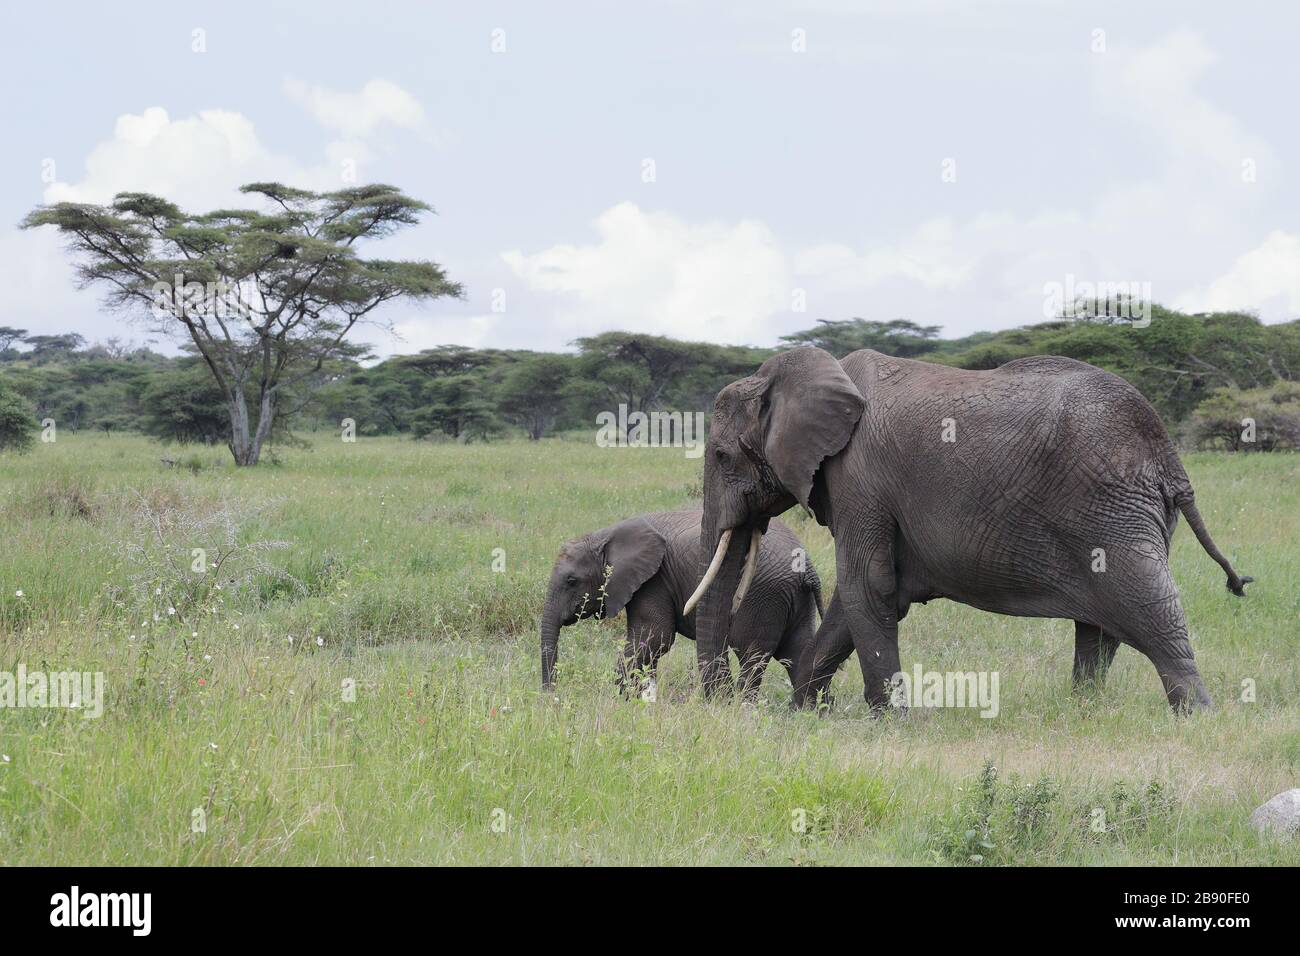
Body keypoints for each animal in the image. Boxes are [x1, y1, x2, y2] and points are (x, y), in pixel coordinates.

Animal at [540, 509, 832, 702]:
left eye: (571, 581)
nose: (551, 696)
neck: (604, 535)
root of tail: (808, 569)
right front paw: (641, 700)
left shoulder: (655, 579)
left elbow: (655, 637)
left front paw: (624, 700)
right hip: (794, 598)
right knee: (797, 651)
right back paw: (815, 712)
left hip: (762, 594)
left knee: (752, 654)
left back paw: (742, 707)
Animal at [686, 348, 1253, 712]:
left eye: (721, 456)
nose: (719, 706)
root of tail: (1170, 459)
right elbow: (859, 598)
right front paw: (802, 714)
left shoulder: (858, 477)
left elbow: (868, 585)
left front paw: (888, 721)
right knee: (1101, 628)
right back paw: (1084, 711)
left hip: (1114, 509)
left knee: (1148, 609)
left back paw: (1198, 718)